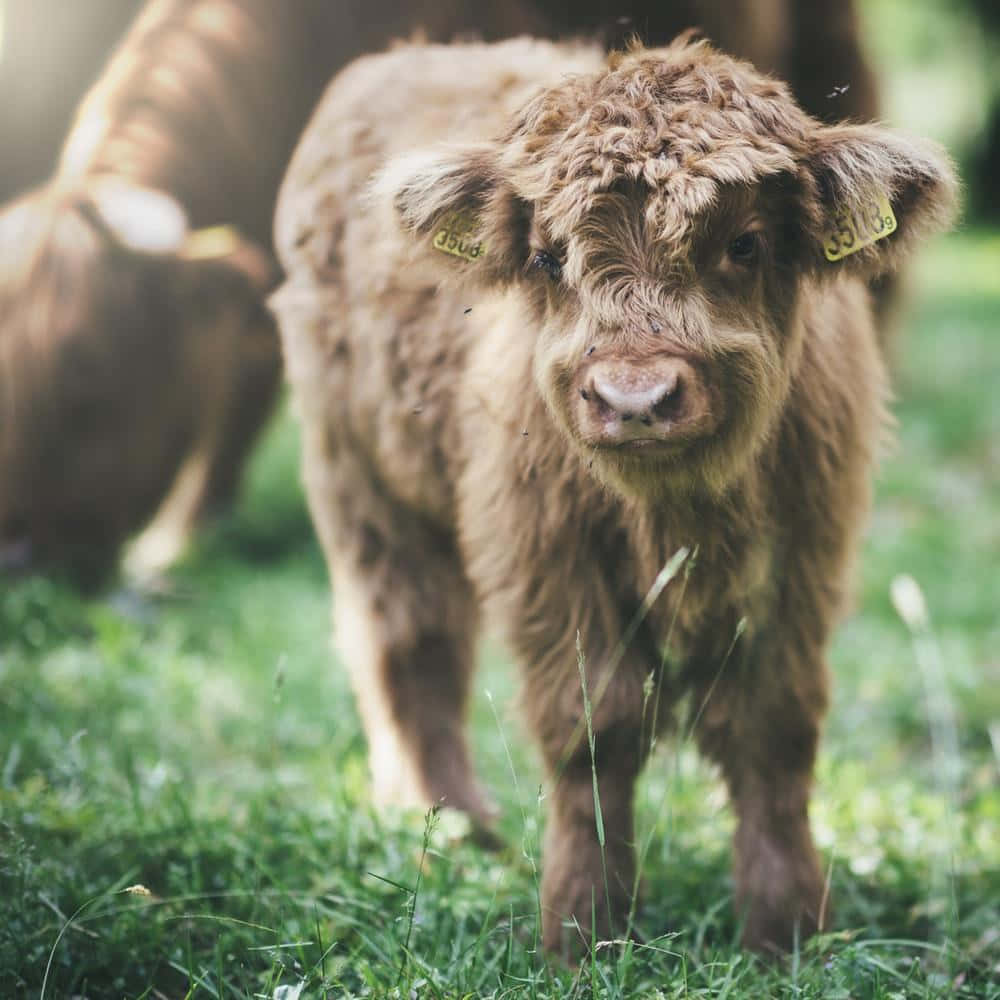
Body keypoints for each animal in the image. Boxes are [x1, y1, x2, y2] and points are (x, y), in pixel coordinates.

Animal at [272, 39, 952, 956]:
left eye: (744, 243)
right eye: (550, 255)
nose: (635, 399)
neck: (680, 515)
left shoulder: (803, 558)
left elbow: (772, 729)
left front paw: (786, 930)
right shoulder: (547, 559)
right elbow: (594, 727)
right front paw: (582, 928)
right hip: (360, 478)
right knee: (409, 640)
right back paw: (450, 826)